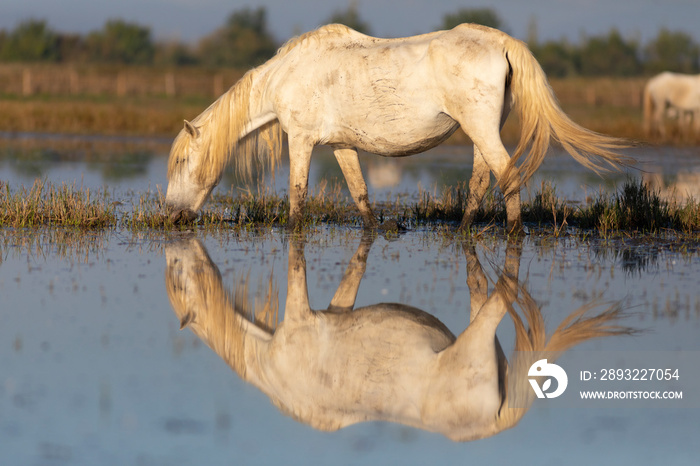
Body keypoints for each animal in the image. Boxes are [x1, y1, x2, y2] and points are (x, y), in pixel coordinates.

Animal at [167, 22, 632, 232]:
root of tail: (501, 42)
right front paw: (378, 228)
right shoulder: (340, 146)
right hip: (481, 131)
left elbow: (297, 194)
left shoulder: (300, 140)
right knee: (482, 179)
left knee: (507, 175)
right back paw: (464, 230)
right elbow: (359, 193)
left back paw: (514, 234)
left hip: (481, 128)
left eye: (184, 162)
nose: (172, 214)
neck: (290, 72)